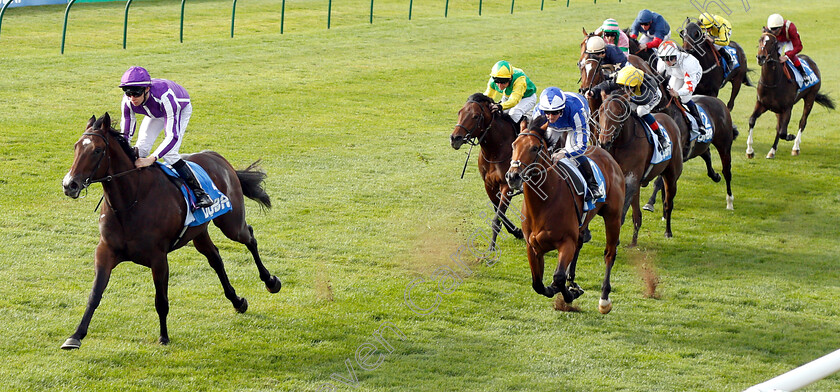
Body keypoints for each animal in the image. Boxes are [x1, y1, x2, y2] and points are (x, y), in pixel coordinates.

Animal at [60, 113, 282, 350]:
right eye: (76, 147)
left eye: (97, 150)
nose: (70, 185)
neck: (131, 201)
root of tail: (217, 157)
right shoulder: (105, 251)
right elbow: (95, 294)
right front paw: (75, 336)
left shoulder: (158, 258)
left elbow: (161, 300)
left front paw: (163, 336)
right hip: (199, 232)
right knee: (215, 258)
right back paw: (237, 301)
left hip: (230, 223)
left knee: (249, 237)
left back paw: (271, 282)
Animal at [450, 93, 520, 250]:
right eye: (459, 112)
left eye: (475, 116)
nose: (455, 138)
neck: (496, 151)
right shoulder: (489, 185)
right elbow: (500, 214)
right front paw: (518, 232)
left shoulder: (507, 186)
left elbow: (498, 217)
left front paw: (491, 248)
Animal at [502, 116, 620, 312]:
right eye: (513, 145)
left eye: (535, 148)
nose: (513, 177)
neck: (544, 204)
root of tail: (607, 155)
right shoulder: (533, 247)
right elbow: (538, 284)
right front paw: (570, 289)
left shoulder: (566, 242)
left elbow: (558, 277)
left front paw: (569, 293)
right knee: (580, 243)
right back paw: (573, 282)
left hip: (613, 217)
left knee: (609, 254)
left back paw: (604, 299)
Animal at [596, 92, 684, 245]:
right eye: (601, 110)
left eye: (618, 113)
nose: (604, 142)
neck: (622, 142)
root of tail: (671, 121)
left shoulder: (631, 180)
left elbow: (622, 212)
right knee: (638, 214)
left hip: (671, 177)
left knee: (668, 204)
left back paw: (668, 232)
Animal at [748, 31, 832, 159]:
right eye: (760, 40)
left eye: (772, 42)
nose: (760, 57)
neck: (773, 82)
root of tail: (811, 61)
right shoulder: (761, 104)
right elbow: (752, 120)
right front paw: (749, 151)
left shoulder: (787, 108)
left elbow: (783, 132)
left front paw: (790, 136)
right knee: (778, 127)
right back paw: (772, 151)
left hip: (810, 97)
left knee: (802, 122)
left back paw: (795, 148)